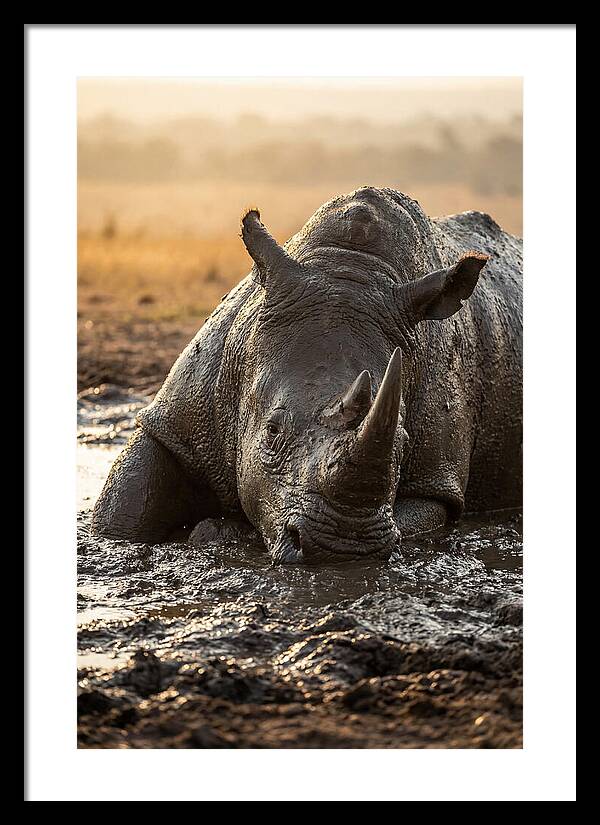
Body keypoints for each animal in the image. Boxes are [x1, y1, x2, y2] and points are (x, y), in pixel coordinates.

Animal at [92, 187, 522, 563]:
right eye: (272, 431)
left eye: (403, 441)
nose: (343, 547)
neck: (349, 267)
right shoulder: (176, 419)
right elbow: (123, 511)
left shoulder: (437, 481)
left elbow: (420, 514)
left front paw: (218, 532)